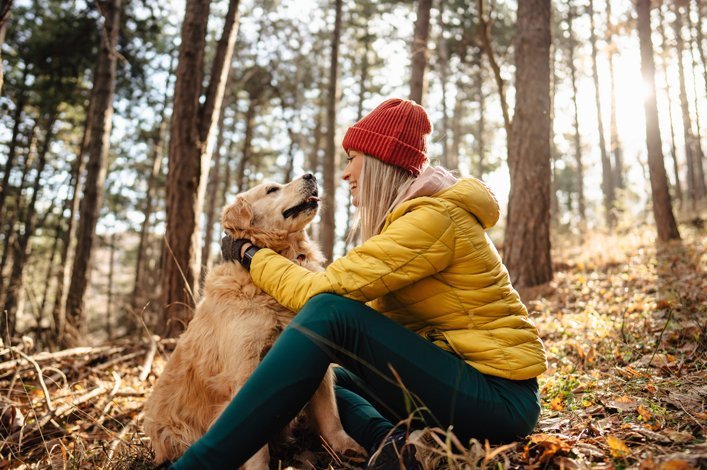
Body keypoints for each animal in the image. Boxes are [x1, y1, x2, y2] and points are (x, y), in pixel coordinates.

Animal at [144, 174, 366, 468]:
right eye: (272, 189)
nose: (310, 175)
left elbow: (330, 413)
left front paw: (346, 447)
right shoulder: (245, 368)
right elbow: (253, 437)